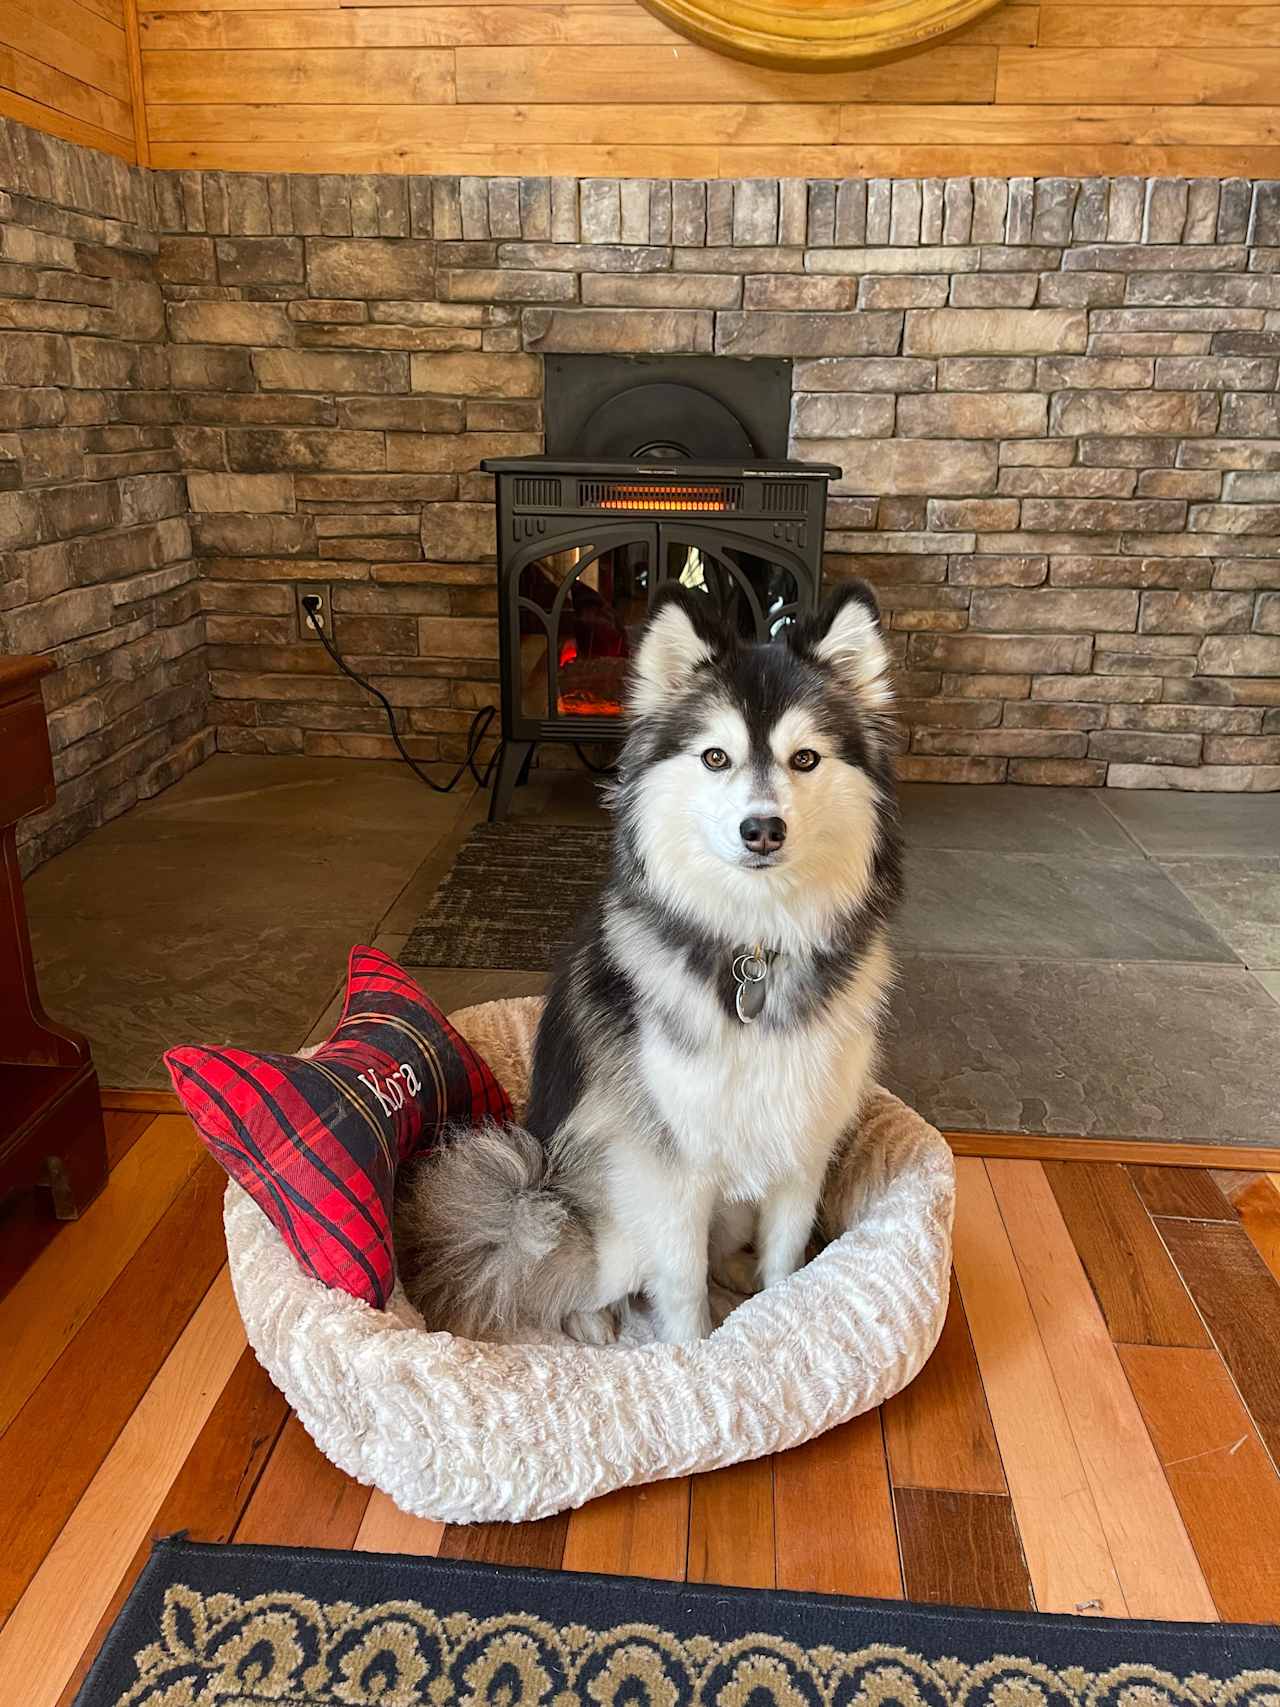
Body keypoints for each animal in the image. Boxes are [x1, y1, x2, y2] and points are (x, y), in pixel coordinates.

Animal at [395, 583, 907, 1345]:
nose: (762, 829)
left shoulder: (802, 1151)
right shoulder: (672, 1172)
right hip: (594, 1212)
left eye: (806, 759)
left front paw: (773, 1316)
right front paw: (693, 1356)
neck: (753, 947)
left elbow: (785, 1263)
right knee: (563, 1272)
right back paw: (593, 1320)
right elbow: (683, 1288)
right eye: (716, 757)